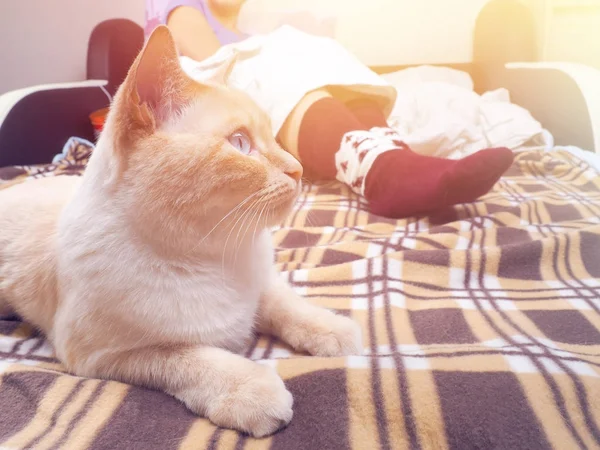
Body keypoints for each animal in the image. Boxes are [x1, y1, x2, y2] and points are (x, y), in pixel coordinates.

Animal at [0, 25, 360, 436]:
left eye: (273, 137)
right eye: (240, 143)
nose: (298, 169)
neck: (216, 257)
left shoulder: (261, 283)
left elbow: (285, 304)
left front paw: (333, 330)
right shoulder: (103, 354)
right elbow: (190, 357)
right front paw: (252, 389)